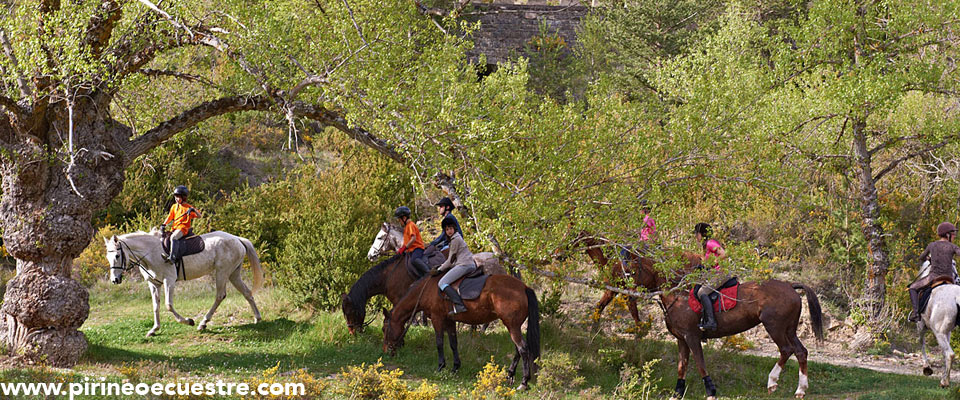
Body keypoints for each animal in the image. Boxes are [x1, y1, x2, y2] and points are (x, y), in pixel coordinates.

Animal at [105, 228, 264, 338]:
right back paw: (257, 318)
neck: (151, 252)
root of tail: (237, 239)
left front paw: (189, 321)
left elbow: (169, 306)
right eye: (108, 257)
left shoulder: (169, 281)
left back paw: (202, 323)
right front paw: (154, 329)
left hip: (222, 272)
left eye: (117, 255)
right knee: (247, 293)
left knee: (220, 296)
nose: (115, 280)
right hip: (233, 274)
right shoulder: (154, 284)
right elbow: (156, 306)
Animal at [378, 276, 540, 390]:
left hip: (512, 326)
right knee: (518, 350)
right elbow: (453, 343)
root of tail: (524, 287)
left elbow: (439, 343)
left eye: (384, 329)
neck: (427, 289)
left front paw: (441, 366)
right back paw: (510, 375)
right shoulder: (450, 321)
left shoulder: (437, 319)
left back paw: (524, 382)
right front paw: (455, 367)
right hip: (514, 326)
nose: (385, 350)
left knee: (523, 349)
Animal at [916, 260, 960, 388]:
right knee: (948, 354)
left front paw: (927, 368)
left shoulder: (921, 326)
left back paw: (944, 383)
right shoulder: (948, 332)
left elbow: (921, 343)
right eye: (954, 264)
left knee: (950, 354)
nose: (958, 279)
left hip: (938, 332)